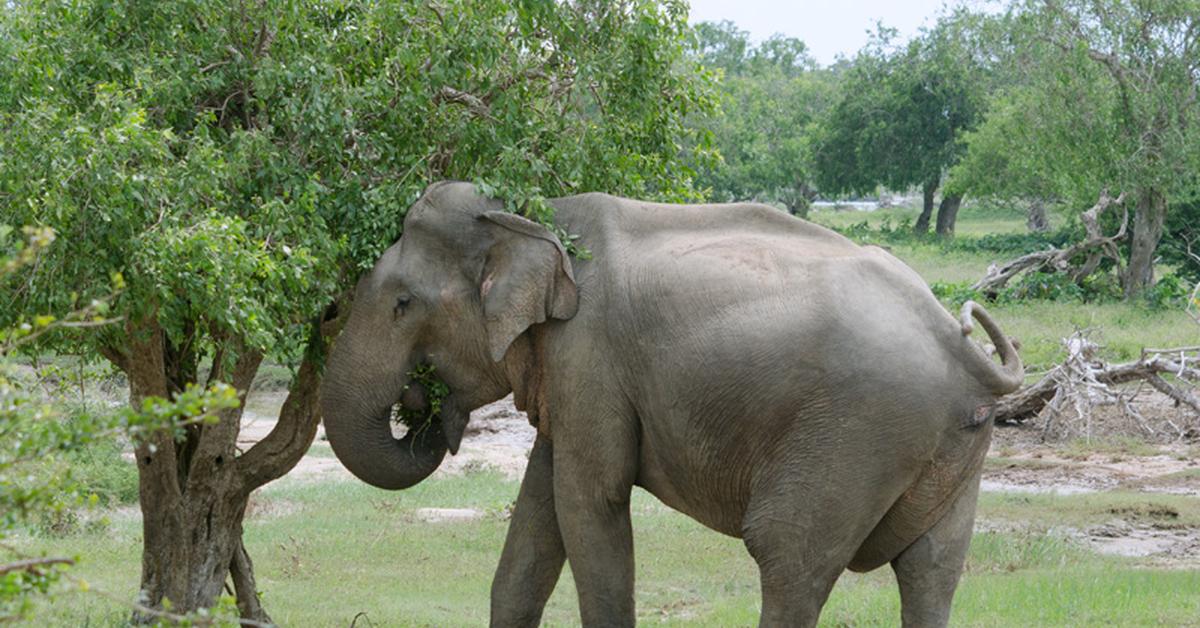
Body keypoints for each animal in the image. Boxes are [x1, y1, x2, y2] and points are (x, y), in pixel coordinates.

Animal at [319, 178, 1022, 624]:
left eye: (402, 304)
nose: (422, 399)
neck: (533, 213)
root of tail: (967, 357)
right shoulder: (574, 379)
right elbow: (538, 516)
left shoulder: (590, 357)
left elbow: (589, 504)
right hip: (948, 455)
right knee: (932, 570)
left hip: (857, 438)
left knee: (789, 560)